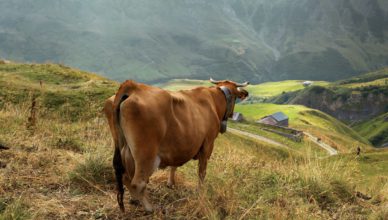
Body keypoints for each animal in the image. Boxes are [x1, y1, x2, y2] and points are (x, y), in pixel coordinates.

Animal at [104, 78, 249, 211]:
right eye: (235, 98)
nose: (232, 114)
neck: (214, 101)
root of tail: (132, 87)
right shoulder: (207, 144)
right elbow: (202, 172)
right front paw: (200, 192)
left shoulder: (178, 145)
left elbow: (174, 165)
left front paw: (170, 183)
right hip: (146, 153)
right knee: (137, 182)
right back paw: (150, 208)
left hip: (125, 148)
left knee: (126, 176)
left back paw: (135, 200)